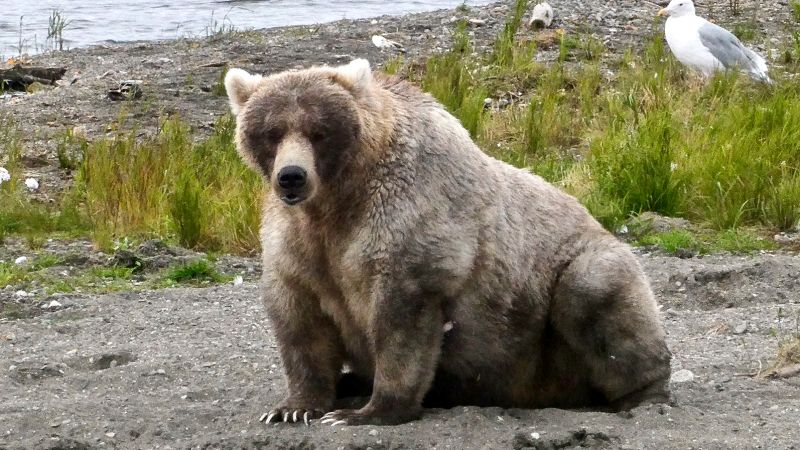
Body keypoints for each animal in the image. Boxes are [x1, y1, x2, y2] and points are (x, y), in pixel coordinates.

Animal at [224, 58, 672, 426]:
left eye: (319, 132)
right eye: (271, 132)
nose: (292, 177)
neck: (340, 200)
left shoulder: (408, 222)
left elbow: (402, 320)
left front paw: (364, 413)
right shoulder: (299, 242)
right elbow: (300, 321)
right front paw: (294, 407)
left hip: (563, 288)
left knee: (595, 294)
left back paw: (642, 396)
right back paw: (350, 381)